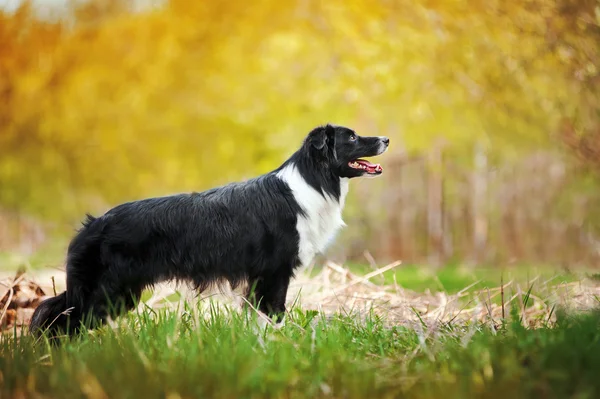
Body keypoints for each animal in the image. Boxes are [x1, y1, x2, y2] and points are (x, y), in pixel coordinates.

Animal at [30, 124, 392, 338]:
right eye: (352, 137)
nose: (386, 138)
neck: (312, 180)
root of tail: (94, 224)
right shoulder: (274, 271)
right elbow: (274, 312)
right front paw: (281, 344)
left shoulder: (260, 276)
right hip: (108, 290)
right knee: (63, 318)